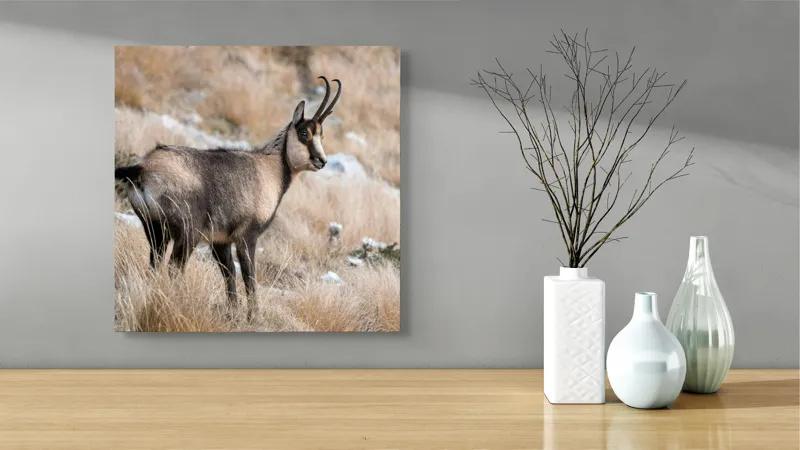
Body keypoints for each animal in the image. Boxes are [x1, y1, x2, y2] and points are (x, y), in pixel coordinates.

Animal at [115, 76, 342, 321]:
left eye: (321, 134)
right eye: (304, 134)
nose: (322, 161)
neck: (271, 168)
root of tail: (143, 168)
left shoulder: (220, 240)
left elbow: (229, 272)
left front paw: (233, 312)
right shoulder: (247, 235)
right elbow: (249, 276)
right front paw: (254, 316)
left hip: (154, 229)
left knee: (155, 265)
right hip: (187, 233)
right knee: (175, 268)